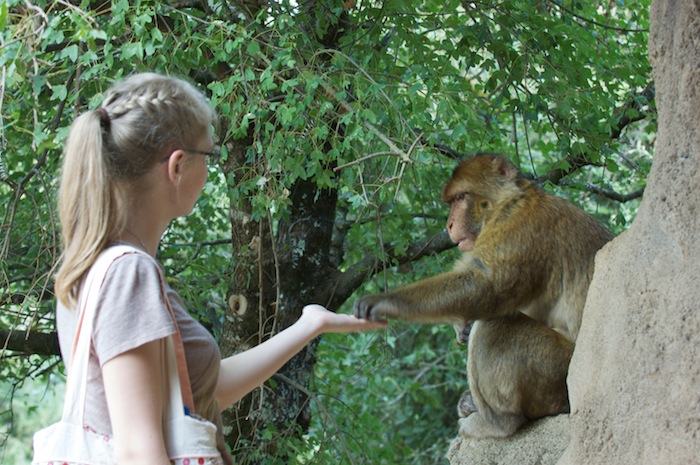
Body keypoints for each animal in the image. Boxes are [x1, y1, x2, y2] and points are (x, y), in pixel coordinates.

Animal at [356, 153, 612, 438]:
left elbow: (485, 285)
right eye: (452, 201)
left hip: (556, 372)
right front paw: (460, 327)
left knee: (494, 326)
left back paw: (498, 422)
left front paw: (388, 302)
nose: (449, 224)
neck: (508, 201)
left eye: (460, 197)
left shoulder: (521, 224)